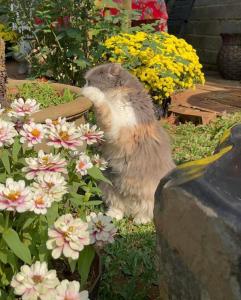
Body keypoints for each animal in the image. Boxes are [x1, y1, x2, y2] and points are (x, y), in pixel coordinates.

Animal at [82, 62, 174, 223]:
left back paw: (140, 219)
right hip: (108, 184)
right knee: (118, 207)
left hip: (148, 194)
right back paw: (113, 215)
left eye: (88, 81)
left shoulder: (121, 129)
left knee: (146, 210)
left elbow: (105, 109)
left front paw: (91, 92)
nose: (82, 85)